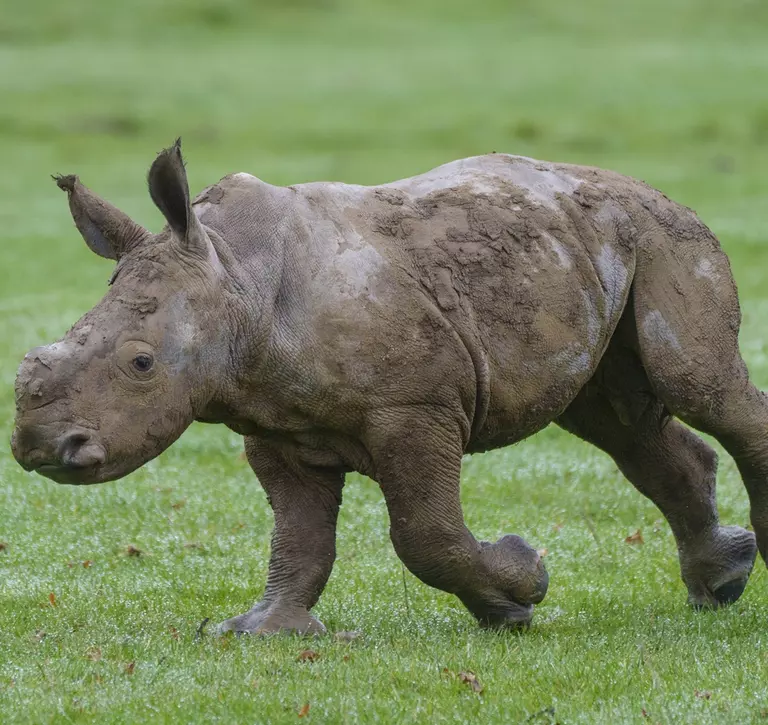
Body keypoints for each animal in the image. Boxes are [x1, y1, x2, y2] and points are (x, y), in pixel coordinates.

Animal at [9, 139, 764, 632]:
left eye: (142, 364)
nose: (44, 448)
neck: (234, 275)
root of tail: (645, 187)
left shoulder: (416, 407)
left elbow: (424, 533)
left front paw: (519, 593)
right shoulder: (277, 426)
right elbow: (300, 535)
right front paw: (262, 629)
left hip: (667, 237)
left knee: (695, 386)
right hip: (590, 250)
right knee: (617, 419)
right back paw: (720, 586)